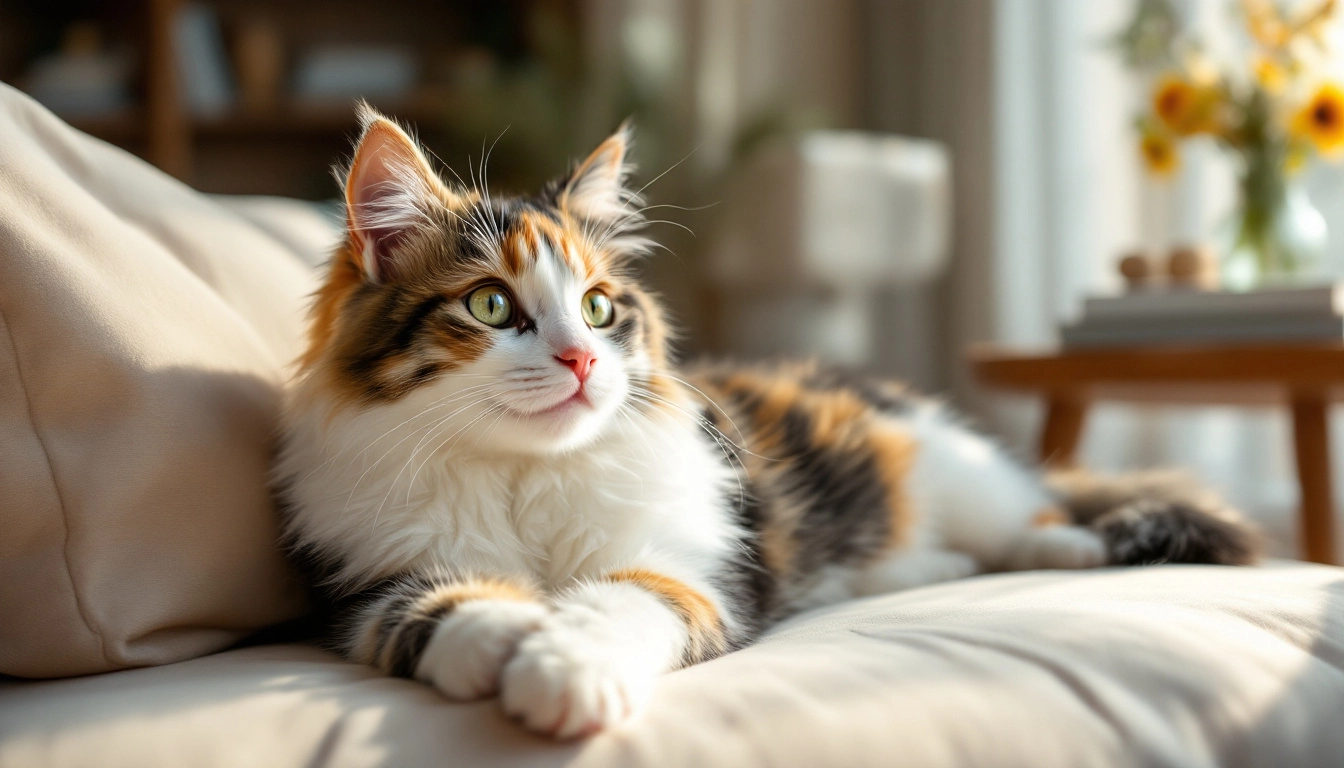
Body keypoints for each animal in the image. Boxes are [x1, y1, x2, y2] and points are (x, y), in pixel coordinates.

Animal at [275, 108, 1257, 737]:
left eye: (597, 309)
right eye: (489, 304)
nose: (583, 361)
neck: (528, 473)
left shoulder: (692, 567)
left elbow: (620, 602)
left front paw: (564, 669)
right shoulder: (367, 587)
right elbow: (444, 610)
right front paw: (515, 633)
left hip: (950, 469)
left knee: (1029, 515)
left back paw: (1068, 546)